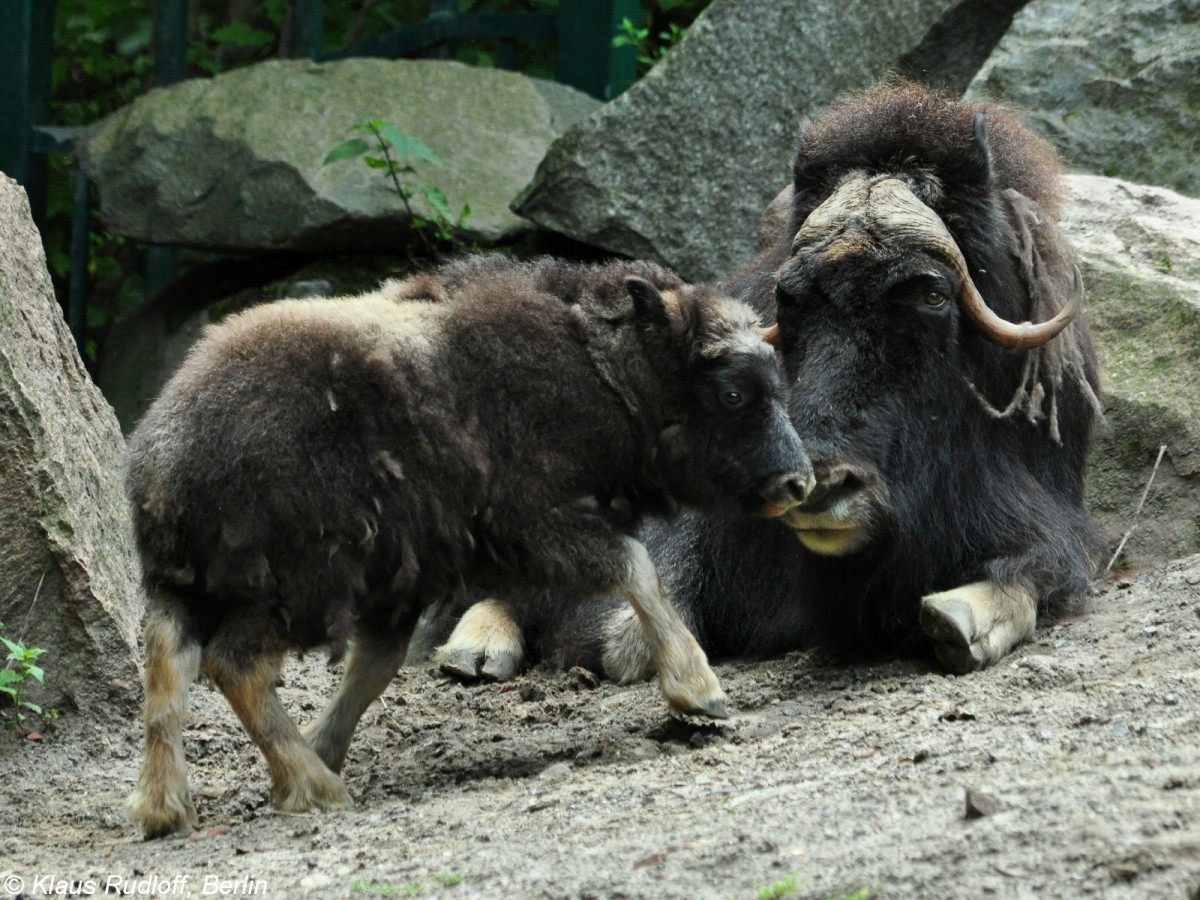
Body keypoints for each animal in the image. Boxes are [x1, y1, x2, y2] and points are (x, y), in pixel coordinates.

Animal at [124, 252, 816, 840]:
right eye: (733, 392)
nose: (798, 483)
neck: (604, 370)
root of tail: (165, 448)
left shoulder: (403, 581)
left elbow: (376, 666)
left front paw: (325, 741)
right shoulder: (545, 521)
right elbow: (639, 570)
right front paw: (701, 691)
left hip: (187, 583)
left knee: (168, 661)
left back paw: (168, 806)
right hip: (296, 586)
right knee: (232, 663)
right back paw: (314, 789)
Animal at [436, 81, 1099, 681]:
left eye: (932, 294)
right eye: (790, 298)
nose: (821, 484)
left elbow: (1046, 565)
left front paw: (958, 618)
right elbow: (631, 633)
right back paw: (475, 651)